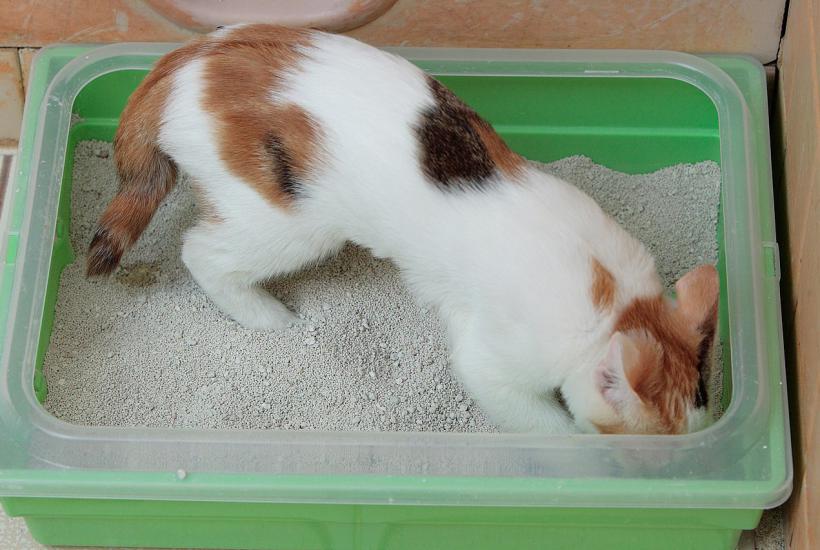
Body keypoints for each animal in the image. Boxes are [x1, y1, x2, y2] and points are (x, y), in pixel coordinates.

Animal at [87, 24, 718, 435]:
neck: (619, 307)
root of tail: (183, 61)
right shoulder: (493, 363)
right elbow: (547, 428)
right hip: (288, 222)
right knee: (202, 253)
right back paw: (270, 317)